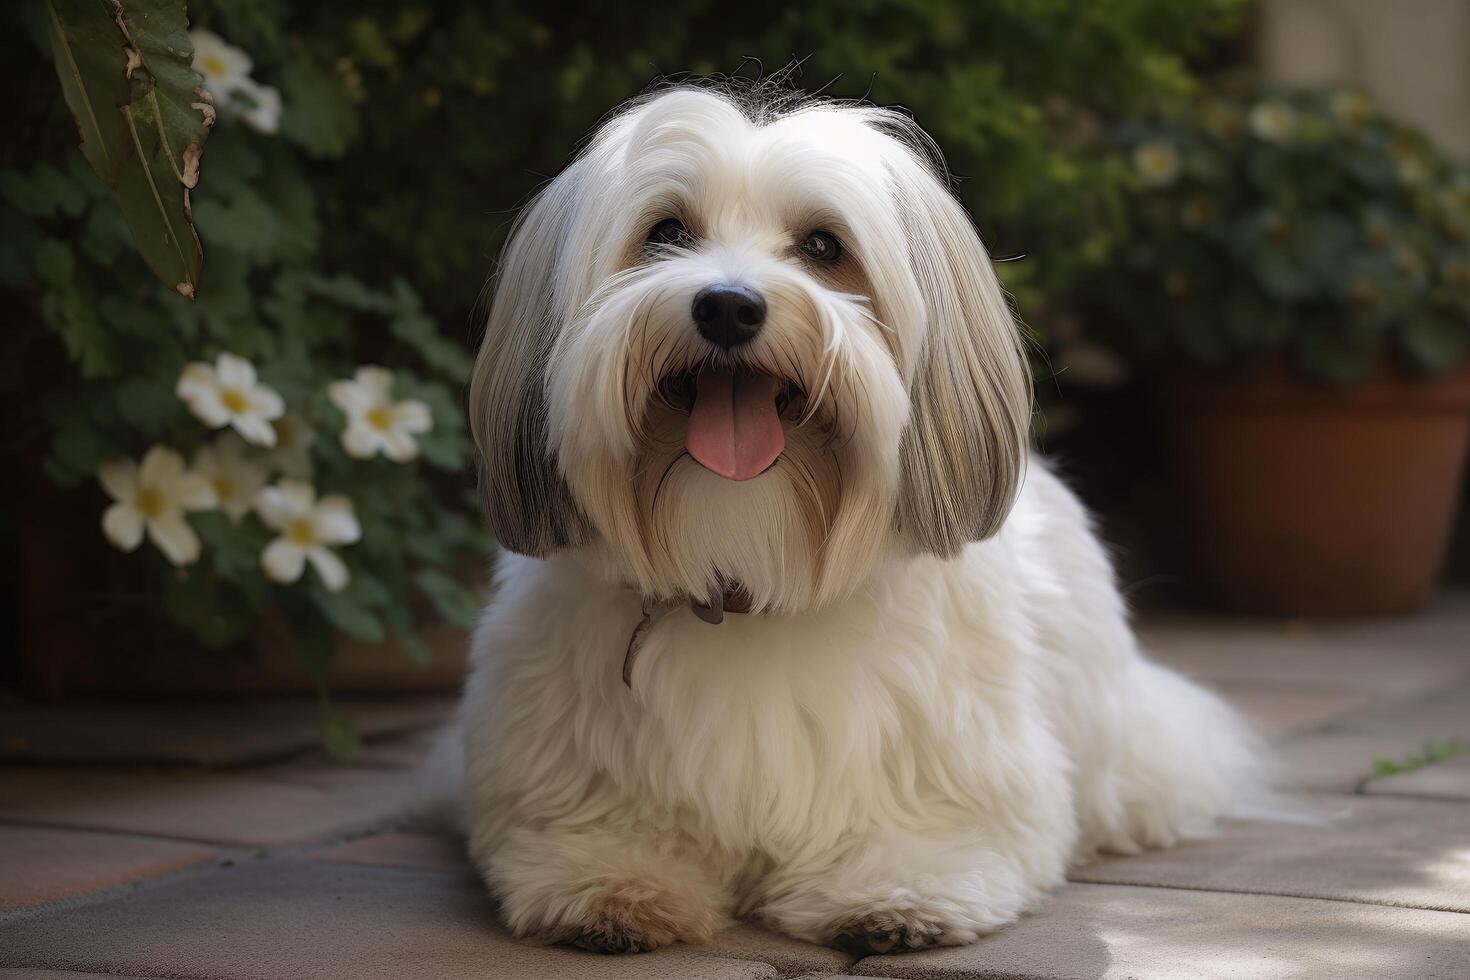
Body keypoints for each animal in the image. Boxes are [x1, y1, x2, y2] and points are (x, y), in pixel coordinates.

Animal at [458, 84, 1264, 957]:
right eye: (665, 233)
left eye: (823, 245)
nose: (728, 306)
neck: (748, 570)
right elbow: (599, 828)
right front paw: (613, 883)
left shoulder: (948, 760)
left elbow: (926, 828)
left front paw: (895, 891)